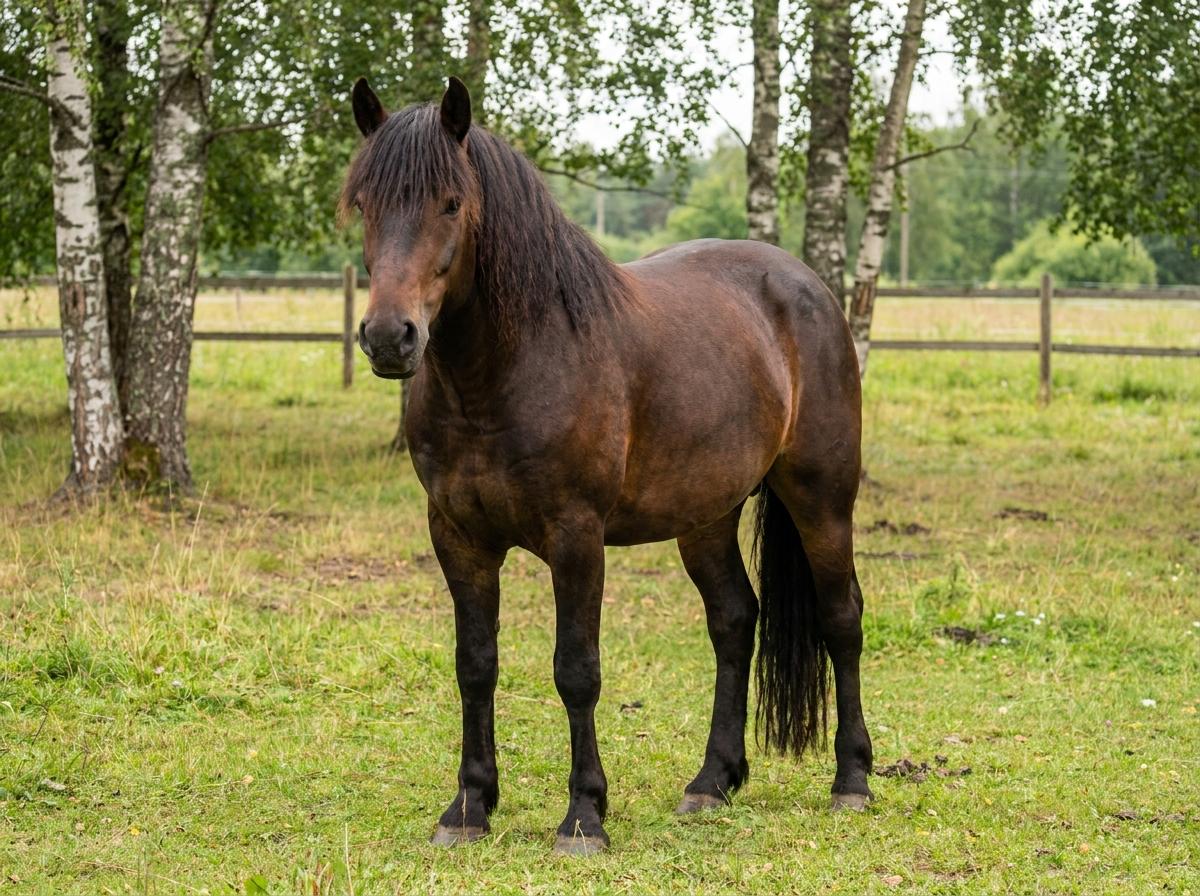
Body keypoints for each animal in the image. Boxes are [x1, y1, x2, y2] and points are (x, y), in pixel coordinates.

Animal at [341, 76, 873, 855]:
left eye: (451, 203)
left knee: (842, 619)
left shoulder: (576, 537)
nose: (389, 338)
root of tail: (804, 286)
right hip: (705, 515)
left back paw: (853, 781)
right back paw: (711, 782)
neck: (508, 371)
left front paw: (584, 815)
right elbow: (475, 666)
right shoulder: (458, 538)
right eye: (365, 204)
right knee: (733, 620)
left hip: (821, 498)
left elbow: (576, 670)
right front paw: (468, 807)